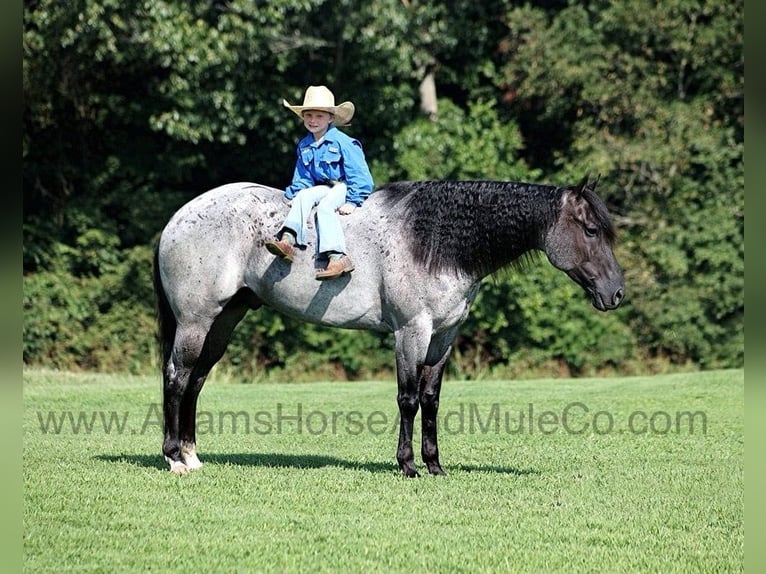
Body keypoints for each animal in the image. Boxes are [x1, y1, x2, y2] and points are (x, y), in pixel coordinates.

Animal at [153, 176, 625, 477]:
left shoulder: (444, 337)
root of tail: (177, 218)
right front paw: (408, 465)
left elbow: (432, 400)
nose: (616, 293)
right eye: (591, 229)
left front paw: (435, 465)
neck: (432, 241)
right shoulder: (411, 333)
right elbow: (408, 399)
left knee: (195, 381)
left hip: (223, 321)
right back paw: (174, 458)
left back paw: (193, 456)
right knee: (177, 378)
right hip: (196, 322)